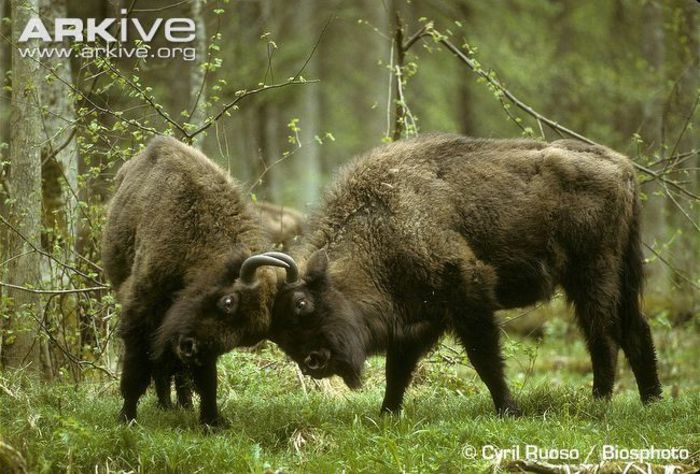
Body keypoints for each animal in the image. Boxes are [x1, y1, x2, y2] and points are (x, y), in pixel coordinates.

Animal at [101, 137, 292, 426]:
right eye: (228, 301)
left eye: (246, 337)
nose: (190, 348)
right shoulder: (140, 312)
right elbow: (136, 373)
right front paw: (127, 419)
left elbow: (206, 381)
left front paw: (211, 422)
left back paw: (179, 405)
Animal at [270, 132, 664, 414]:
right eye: (279, 333)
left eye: (301, 303)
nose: (313, 362)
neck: (380, 217)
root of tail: (623, 167)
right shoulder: (421, 318)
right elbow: (398, 370)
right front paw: (387, 413)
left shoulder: (468, 293)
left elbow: (483, 357)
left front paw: (508, 410)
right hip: (622, 270)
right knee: (636, 328)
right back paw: (652, 401)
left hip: (592, 273)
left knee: (604, 333)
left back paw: (598, 403)